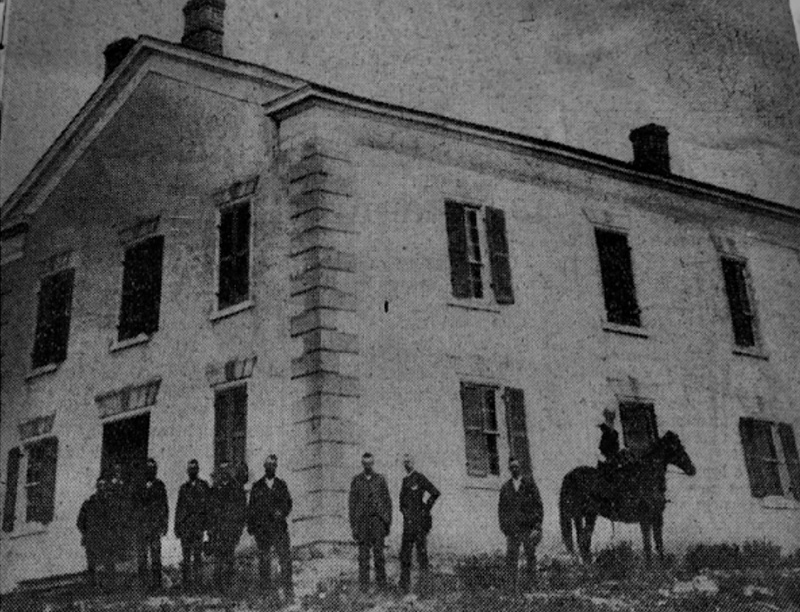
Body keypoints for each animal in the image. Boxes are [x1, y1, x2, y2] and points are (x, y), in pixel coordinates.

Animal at [560, 430, 696, 564]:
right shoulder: (645, 519)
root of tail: (570, 475)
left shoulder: (657, 517)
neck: (647, 478)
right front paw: (649, 566)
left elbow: (658, 544)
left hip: (587, 516)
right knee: (582, 540)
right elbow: (648, 545)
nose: (692, 469)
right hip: (581, 515)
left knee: (583, 540)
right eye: (677, 448)